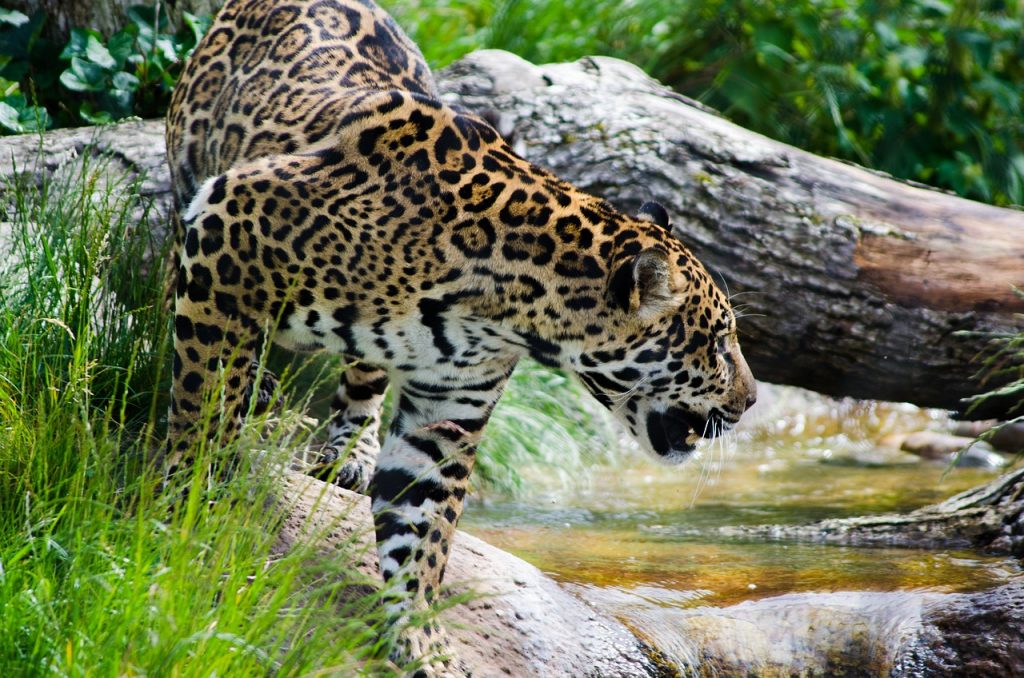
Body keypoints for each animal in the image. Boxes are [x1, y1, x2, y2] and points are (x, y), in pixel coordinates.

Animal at [164, 0, 757, 674]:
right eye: (717, 340)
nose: (752, 400)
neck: (504, 303)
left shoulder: (447, 407)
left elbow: (422, 530)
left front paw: (421, 640)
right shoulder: (229, 228)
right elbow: (202, 408)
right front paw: (186, 513)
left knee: (361, 379)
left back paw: (350, 449)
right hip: (192, 185)